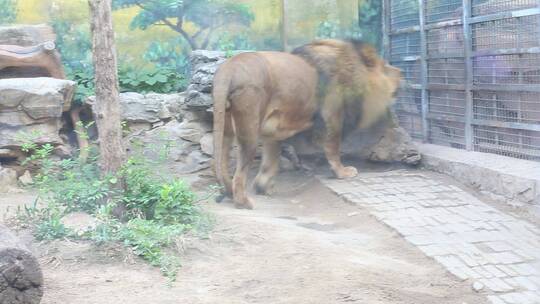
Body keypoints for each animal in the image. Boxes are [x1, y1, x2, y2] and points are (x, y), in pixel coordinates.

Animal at [213, 38, 402, 209]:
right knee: (240, 172)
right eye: (386, 67)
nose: (401, 71)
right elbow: (333, 147)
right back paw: (243, 202)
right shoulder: (333, 115)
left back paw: (229, 193)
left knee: (222, 161)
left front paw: (264, 187)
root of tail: (229, 67)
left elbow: (270, 161)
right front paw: (342, 172)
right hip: (250, 127)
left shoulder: (272, 131)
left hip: (225, 126)